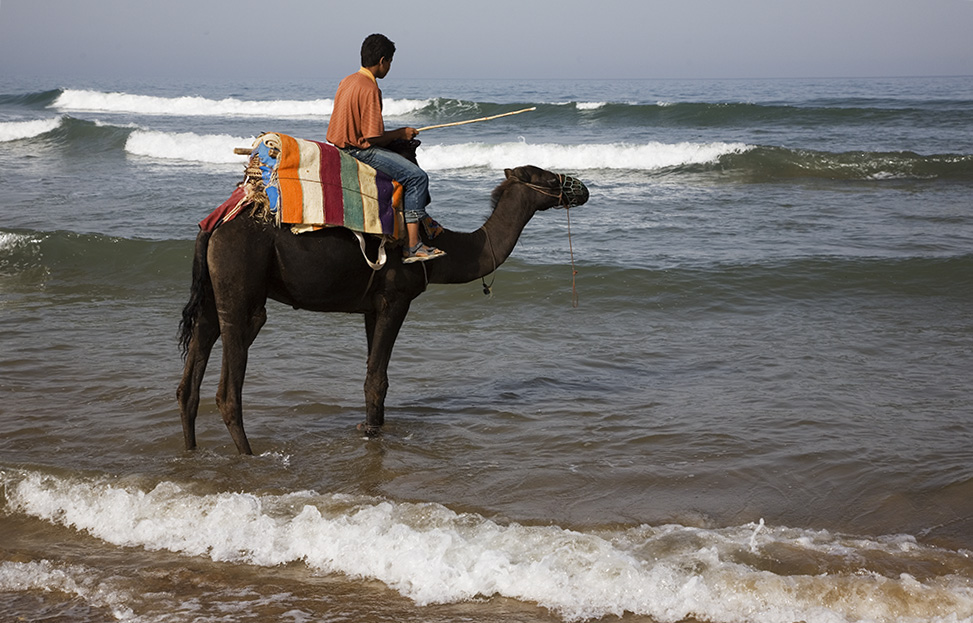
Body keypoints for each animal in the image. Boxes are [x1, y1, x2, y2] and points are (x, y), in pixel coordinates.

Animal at [176, 165, 588, 454]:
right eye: (545, 177)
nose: (580, 188)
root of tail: (212, 227)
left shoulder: (371, 308)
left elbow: (374, 377)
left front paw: (370, 429)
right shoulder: (395, 299)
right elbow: (378, 379)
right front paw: (372, 435)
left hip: (212, 294)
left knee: (190, 377)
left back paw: (191, 450)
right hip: (240, 285)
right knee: (229, 386)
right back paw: (248, 456)